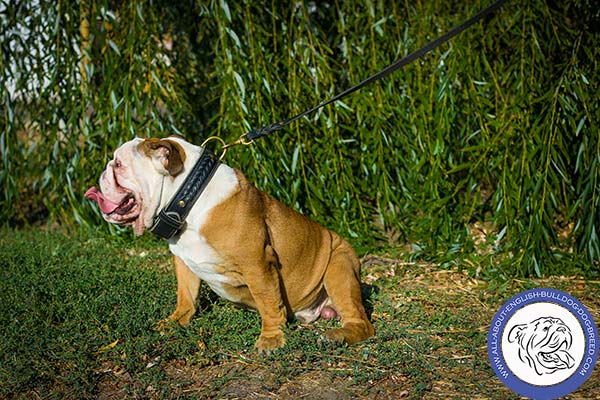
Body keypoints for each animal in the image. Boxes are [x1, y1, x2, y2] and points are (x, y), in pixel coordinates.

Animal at [84, 136, 376, 352]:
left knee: (363, 323)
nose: (102, 172)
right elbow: (186, 295)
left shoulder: (257, 263)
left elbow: (268, 301)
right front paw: (176, 321)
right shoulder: (184, 262)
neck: (188, 198)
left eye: (118, 165)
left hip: (339, 268)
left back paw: (336, 336)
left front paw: (271, 338)